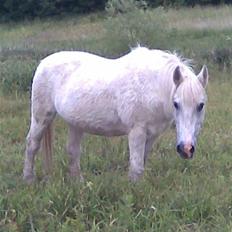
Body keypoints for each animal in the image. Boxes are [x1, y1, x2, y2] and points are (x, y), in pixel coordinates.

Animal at [23, 47, 208, 183]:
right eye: (176, 104)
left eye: (201, 105)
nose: (186, 149)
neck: (153, 86)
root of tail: (44, 62)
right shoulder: (136, 132)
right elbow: (136, 167)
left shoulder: (152, 135)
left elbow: (141, 162)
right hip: (41, 116)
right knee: (32, 144)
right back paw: (29, 180)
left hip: (75, 124)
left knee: (72, 151)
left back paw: (79, 183)